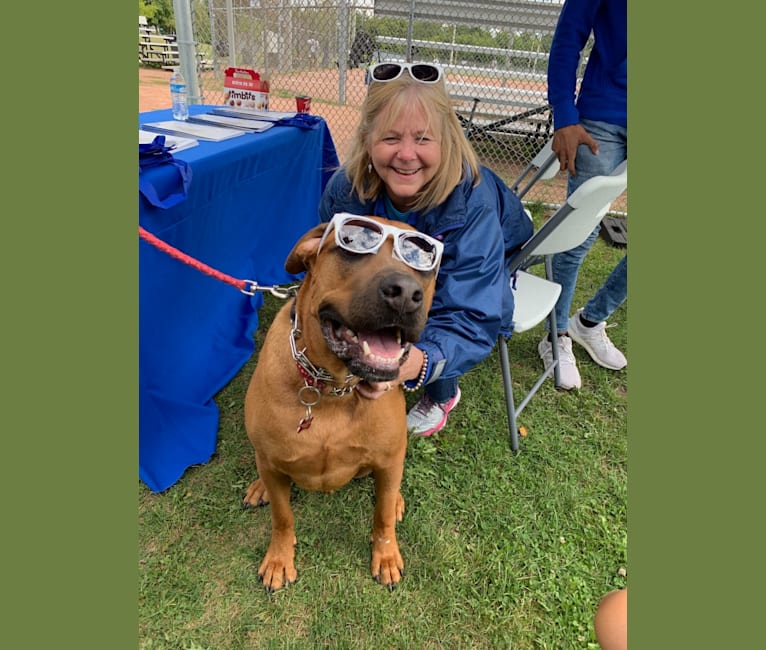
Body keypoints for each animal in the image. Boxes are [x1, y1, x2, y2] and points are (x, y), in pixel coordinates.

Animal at [243, 215, 440, 588]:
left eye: (423, 260)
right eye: (351, 245)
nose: (406, 294)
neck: (331, 388)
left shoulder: (389, 457)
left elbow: (382, 518)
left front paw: (386, 554)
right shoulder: (274, 465)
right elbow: (282, 517)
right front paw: (279, 558)